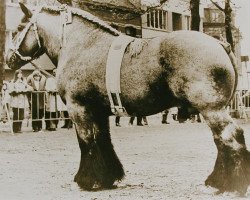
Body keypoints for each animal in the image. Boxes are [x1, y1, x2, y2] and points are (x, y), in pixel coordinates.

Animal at [5, 3, 250, 195]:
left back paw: (227, 184)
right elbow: (103, 141)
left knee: (229, 137)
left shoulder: (79, 110)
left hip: (211, 109)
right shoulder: (99, 112)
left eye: (17, 29)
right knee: (222, 140)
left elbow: (86, 143)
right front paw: (107, 178)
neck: (82, 45)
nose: (8, 59)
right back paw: (218, 182)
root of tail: (219, 43)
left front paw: (84, 180)